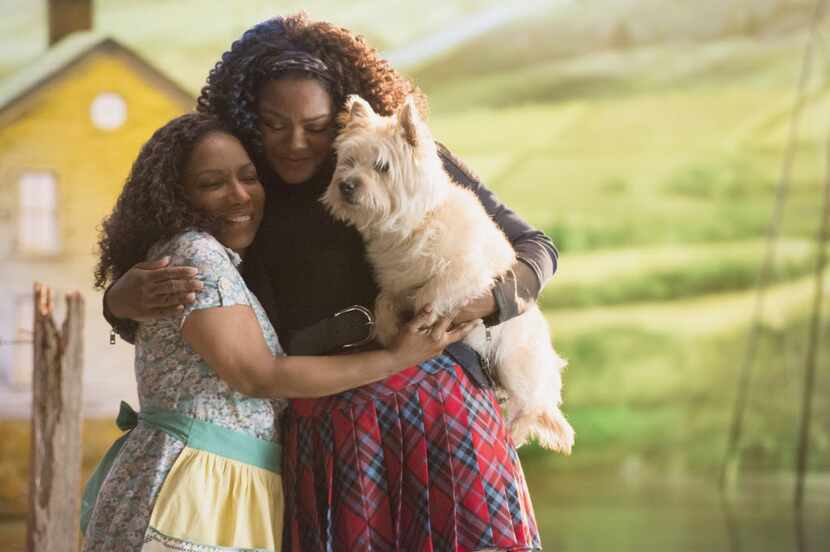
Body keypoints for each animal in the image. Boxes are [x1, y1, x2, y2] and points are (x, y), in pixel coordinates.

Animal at [322, 95, 576, 454]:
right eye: (348, 161)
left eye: (382, 166)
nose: (345, 186)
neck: (415, 223)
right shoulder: (396, 282)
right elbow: (384, 303)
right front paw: (389, 330)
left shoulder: (466, 274)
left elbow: (431, 294)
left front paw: (425, 321)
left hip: (515, 361)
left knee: (532, 405)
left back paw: (515, 430)